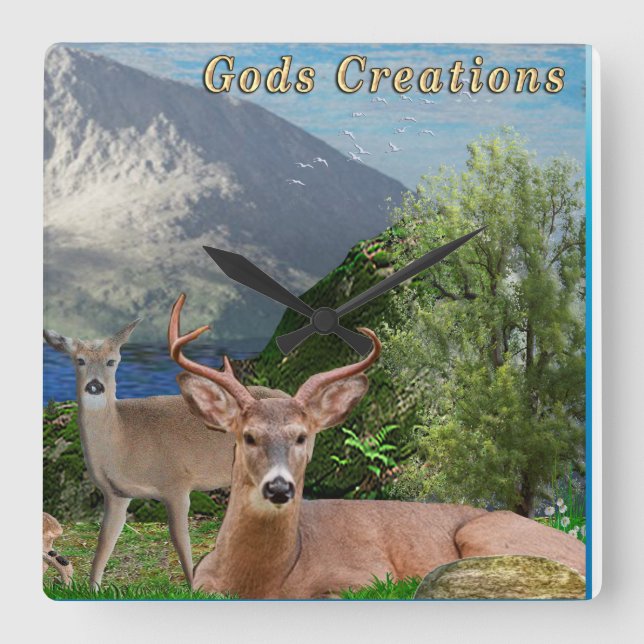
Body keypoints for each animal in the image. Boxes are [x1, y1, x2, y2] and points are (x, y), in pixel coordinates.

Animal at [43, 301, 298, 589]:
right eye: (79, 360)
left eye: (112, 361)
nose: (95, 386)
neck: (123, 441)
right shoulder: (116, 493)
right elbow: (105, 541)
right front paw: (93, 588)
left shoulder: (176, 482)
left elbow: (180, 539)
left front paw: (194, 587)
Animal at [169, 295, 586, 599]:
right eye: (248, 436)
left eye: (302, 436)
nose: (279, 487)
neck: (261, 580)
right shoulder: (200, 583)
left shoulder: (368, 573)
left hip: (485, 534)